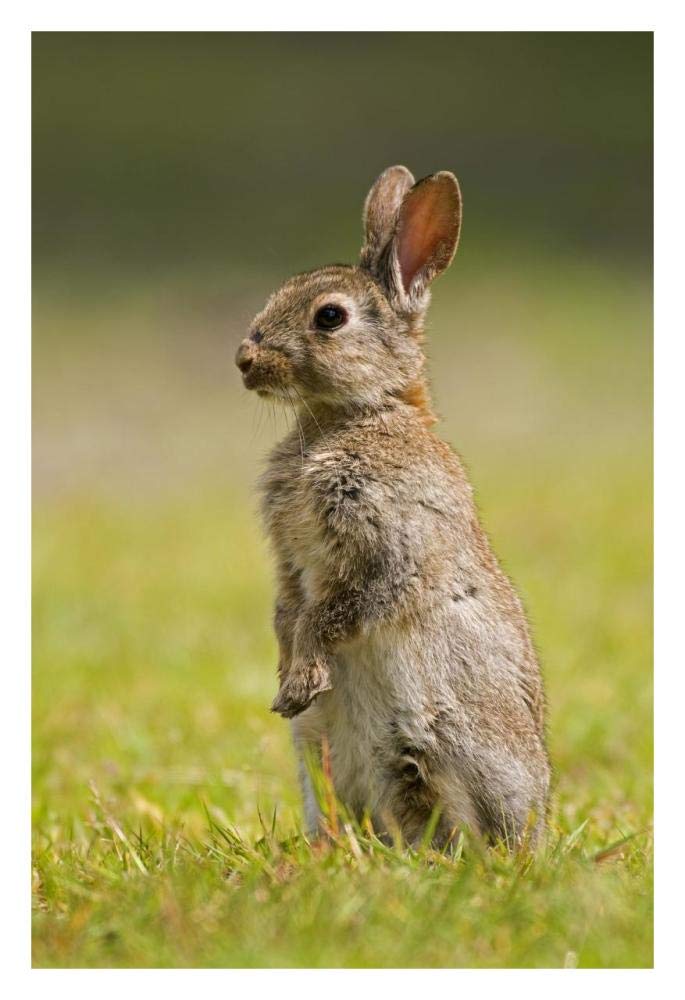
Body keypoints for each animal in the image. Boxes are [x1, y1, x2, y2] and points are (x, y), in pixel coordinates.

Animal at [235, 165, 550, 848]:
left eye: (330, 317)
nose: (245, 361)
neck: (359, 412)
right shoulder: (291, 563)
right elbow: (289, 610)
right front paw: (287, 678)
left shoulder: (389, 544)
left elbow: (335, 611)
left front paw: (302, 678)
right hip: (318, 752)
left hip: (435, 740)